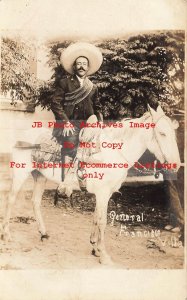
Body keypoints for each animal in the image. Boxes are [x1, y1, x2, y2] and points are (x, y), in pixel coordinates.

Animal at [0, 106, 181, 264]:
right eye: (162, 133)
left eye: (173, 133)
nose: (176, 165)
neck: (112, 153)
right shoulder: (102, 193)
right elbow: (102, 221)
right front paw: (104, 254)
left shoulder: (105, 194)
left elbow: (96, 218)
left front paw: (95, 247)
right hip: (20, 175)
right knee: (10, 200)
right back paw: (7, 234)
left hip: (40, 177)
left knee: (35, 202)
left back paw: (44, 233)